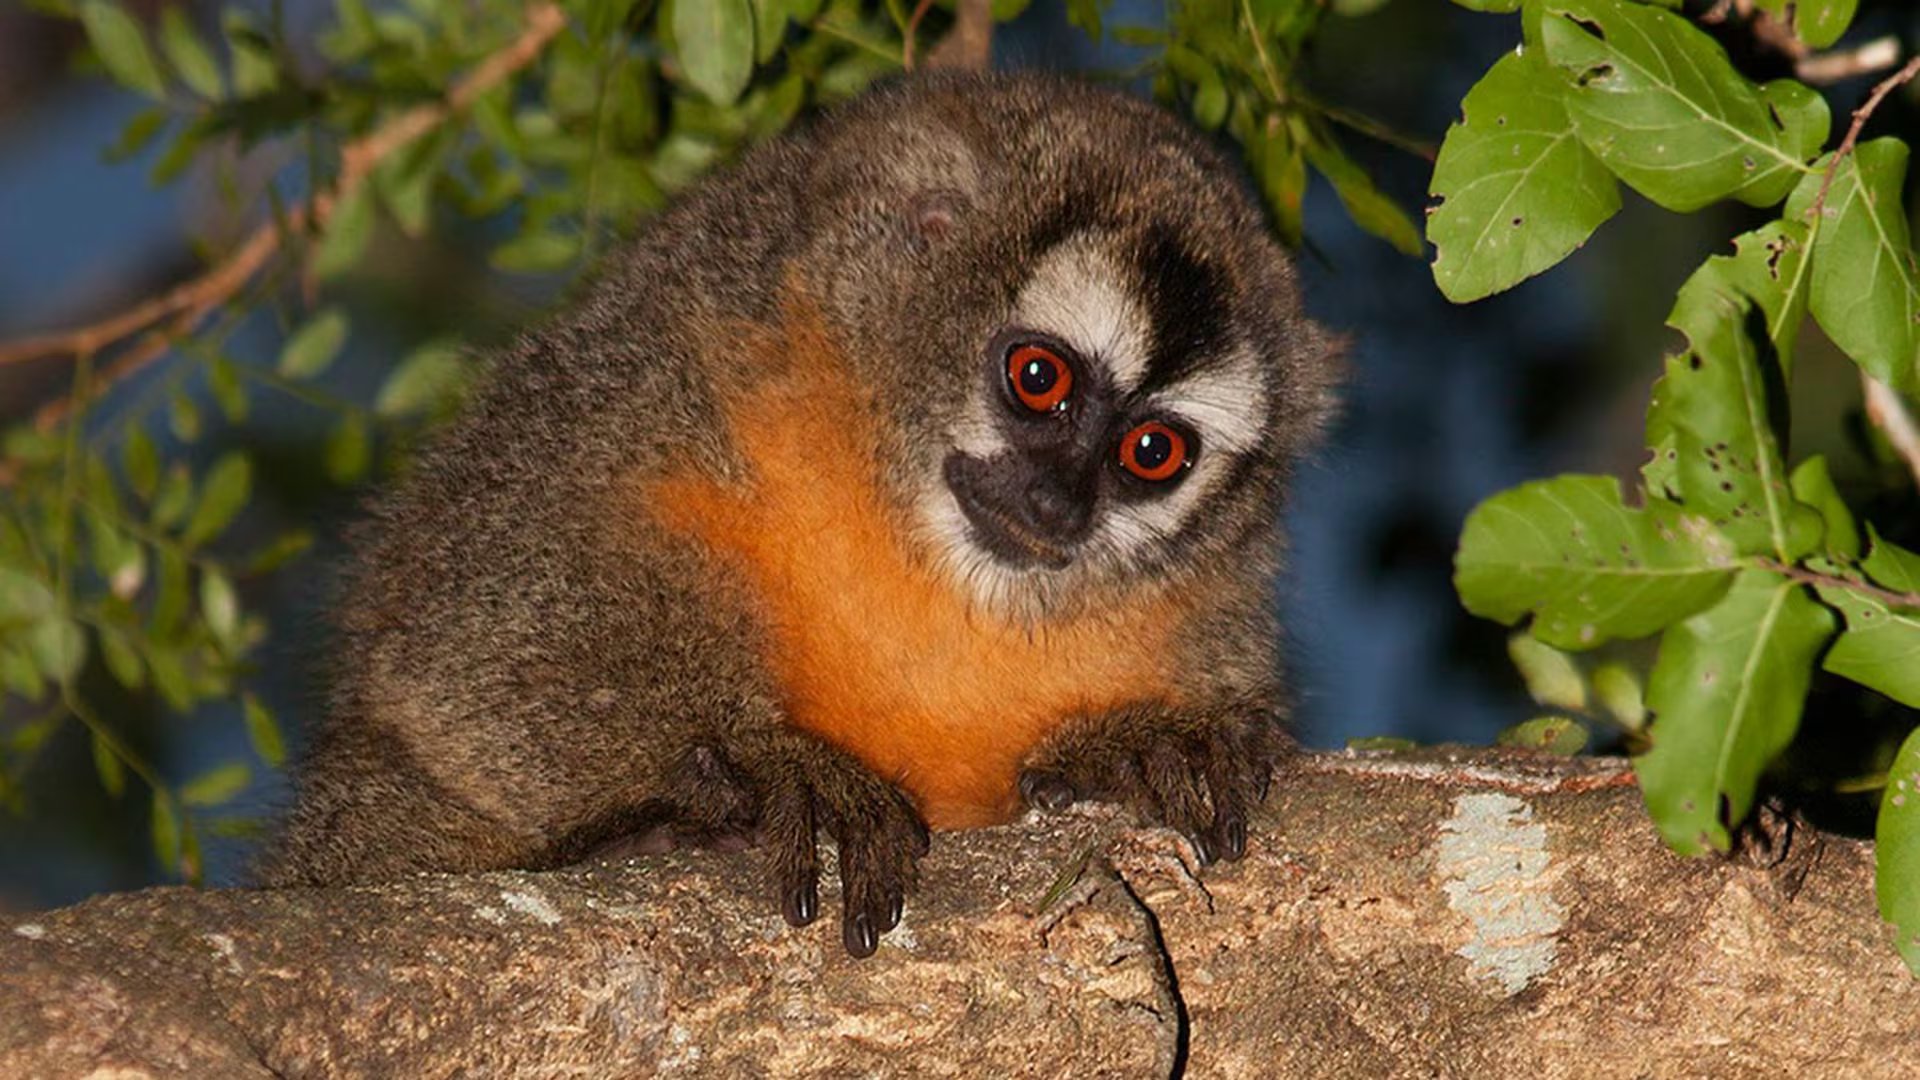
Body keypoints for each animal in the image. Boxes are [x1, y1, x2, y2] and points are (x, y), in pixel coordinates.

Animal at [259, 71, 1340, 959]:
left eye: (1152, 453)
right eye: (1040, 378)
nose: (1056, 504)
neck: (916, 534)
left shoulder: (1215, 607)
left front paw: (1131, 749)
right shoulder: (676, 342)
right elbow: (467, 631)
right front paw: (764, 766)